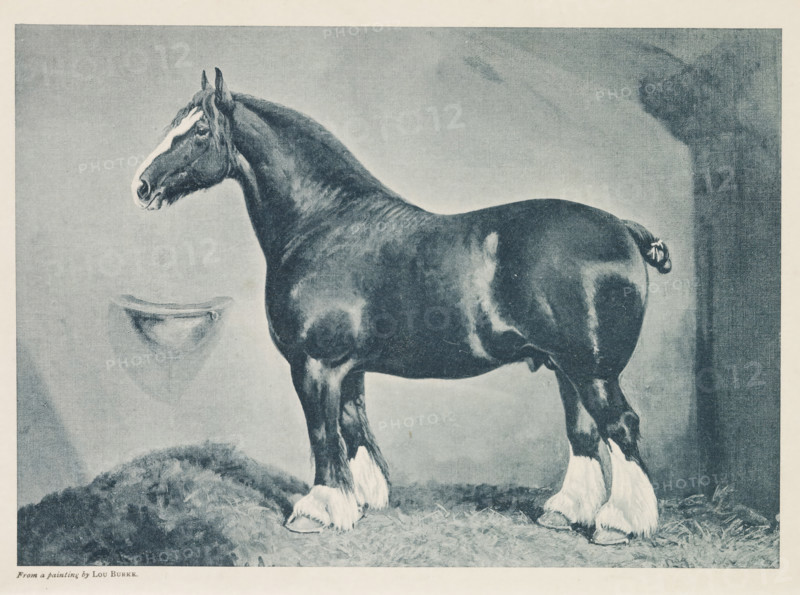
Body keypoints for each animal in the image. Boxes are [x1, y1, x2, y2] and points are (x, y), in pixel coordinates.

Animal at [131, 69, 671, 546]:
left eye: (199, 130)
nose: (141, 185)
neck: (325, 222)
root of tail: (624, 228)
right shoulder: (346, 368)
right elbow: (353, 427)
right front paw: (359, 499)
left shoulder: (314, 364)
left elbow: (323, 433)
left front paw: (318, 510)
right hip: (567, 369)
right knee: (584, 433)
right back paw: (566, 512)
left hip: (592, 370)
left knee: (620, 427)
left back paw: (618, 525)